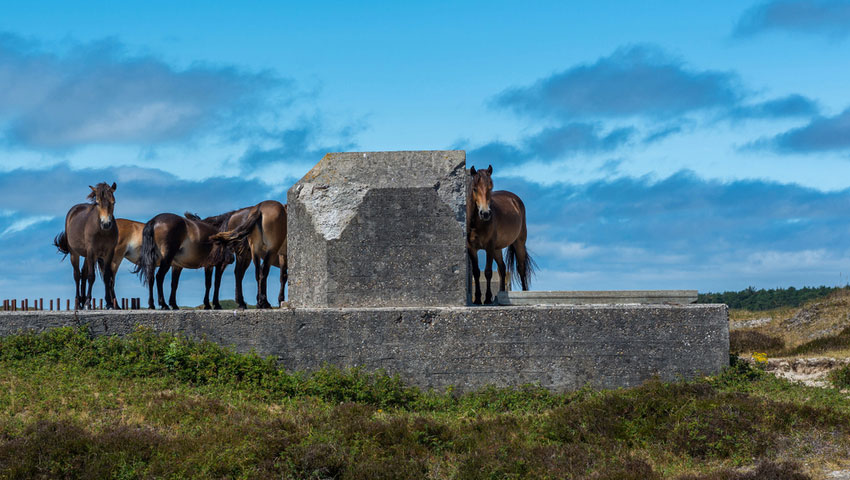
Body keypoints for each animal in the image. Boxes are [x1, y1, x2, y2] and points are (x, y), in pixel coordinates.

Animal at [467, 165, 536, 304]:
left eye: (490, 187)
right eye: (475, 189)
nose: (485, 213)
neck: (478, 223)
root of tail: (515, 199)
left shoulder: (489, 247)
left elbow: (488, 272)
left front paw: (488, 298)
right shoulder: (472, 248)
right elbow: (476, 272)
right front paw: (477, 298)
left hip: (518, 243)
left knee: (521, 268)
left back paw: (524, 293)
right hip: (497, 249)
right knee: (502, 268)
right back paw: (501, 293)